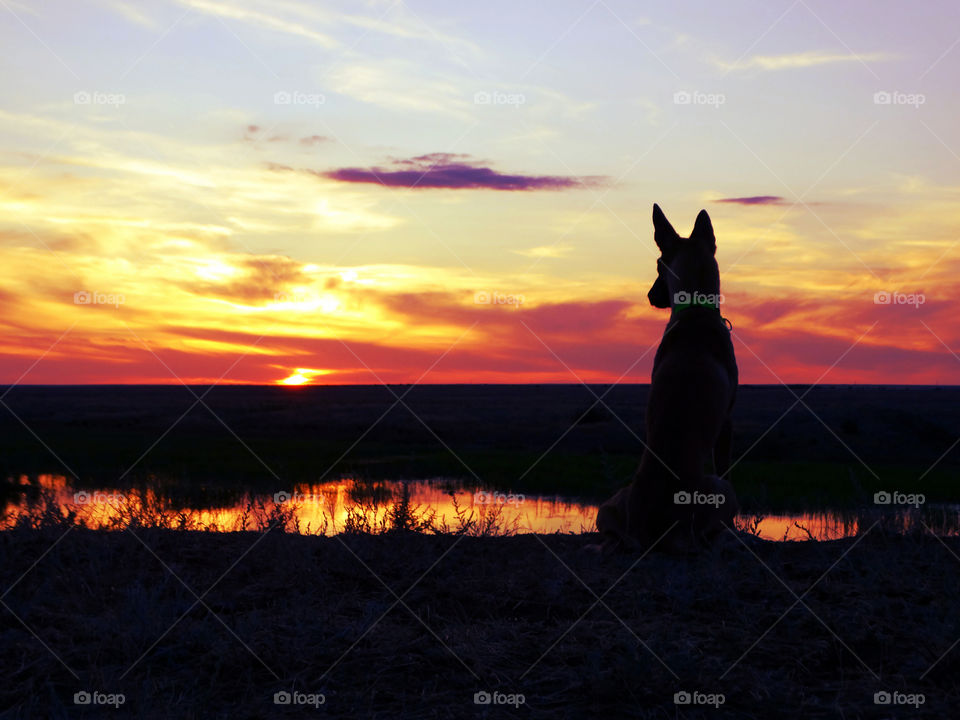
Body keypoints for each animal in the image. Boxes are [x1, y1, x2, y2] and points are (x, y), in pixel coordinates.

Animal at [588, 205, 740, 556]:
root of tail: (652, 528)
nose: (650, 296)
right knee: (713, 535)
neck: (695, 310)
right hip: (723, 491)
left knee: (609, 534)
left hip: (609, 506)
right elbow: (725, 460)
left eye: (658, 266)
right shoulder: (727, 422)